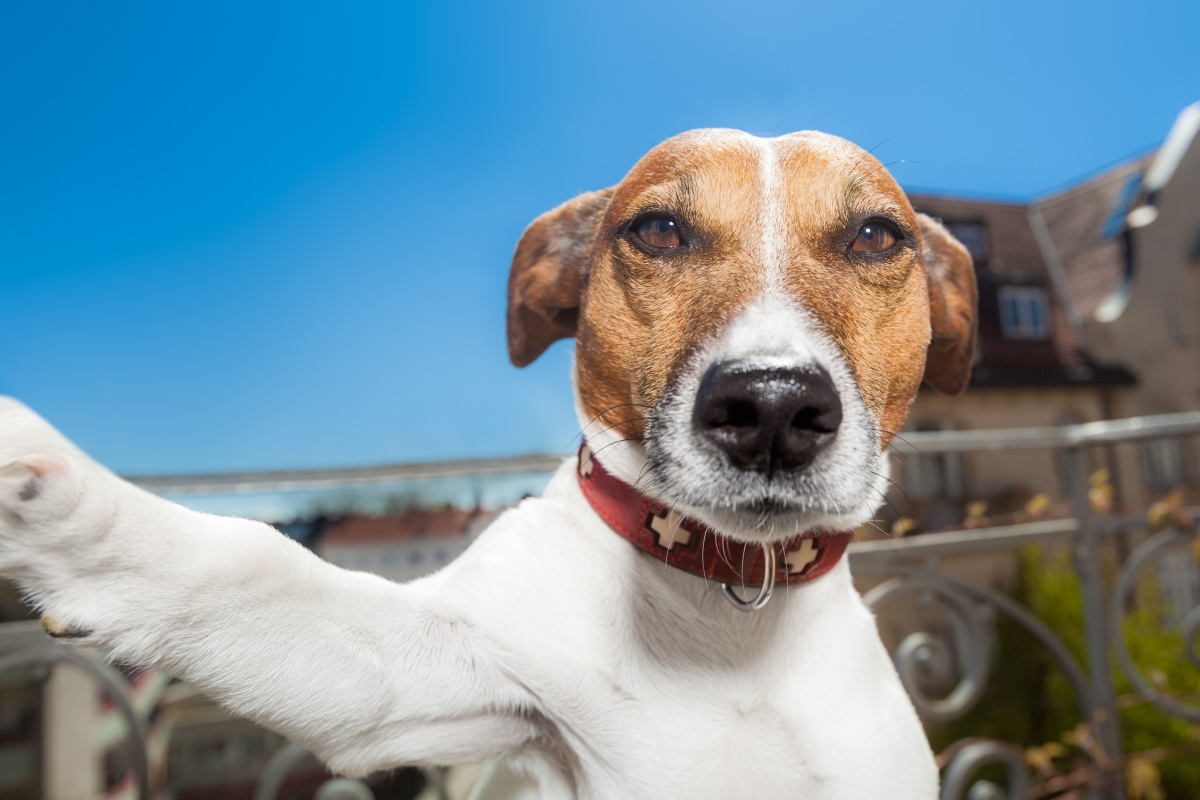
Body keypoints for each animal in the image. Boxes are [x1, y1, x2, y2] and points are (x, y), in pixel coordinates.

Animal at [2, 128, 974, 796]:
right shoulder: (421, 678)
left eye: (877, 236)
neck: (727, 616)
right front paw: (48, 486)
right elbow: (250, 564)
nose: (771, 406)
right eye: (659, 229)